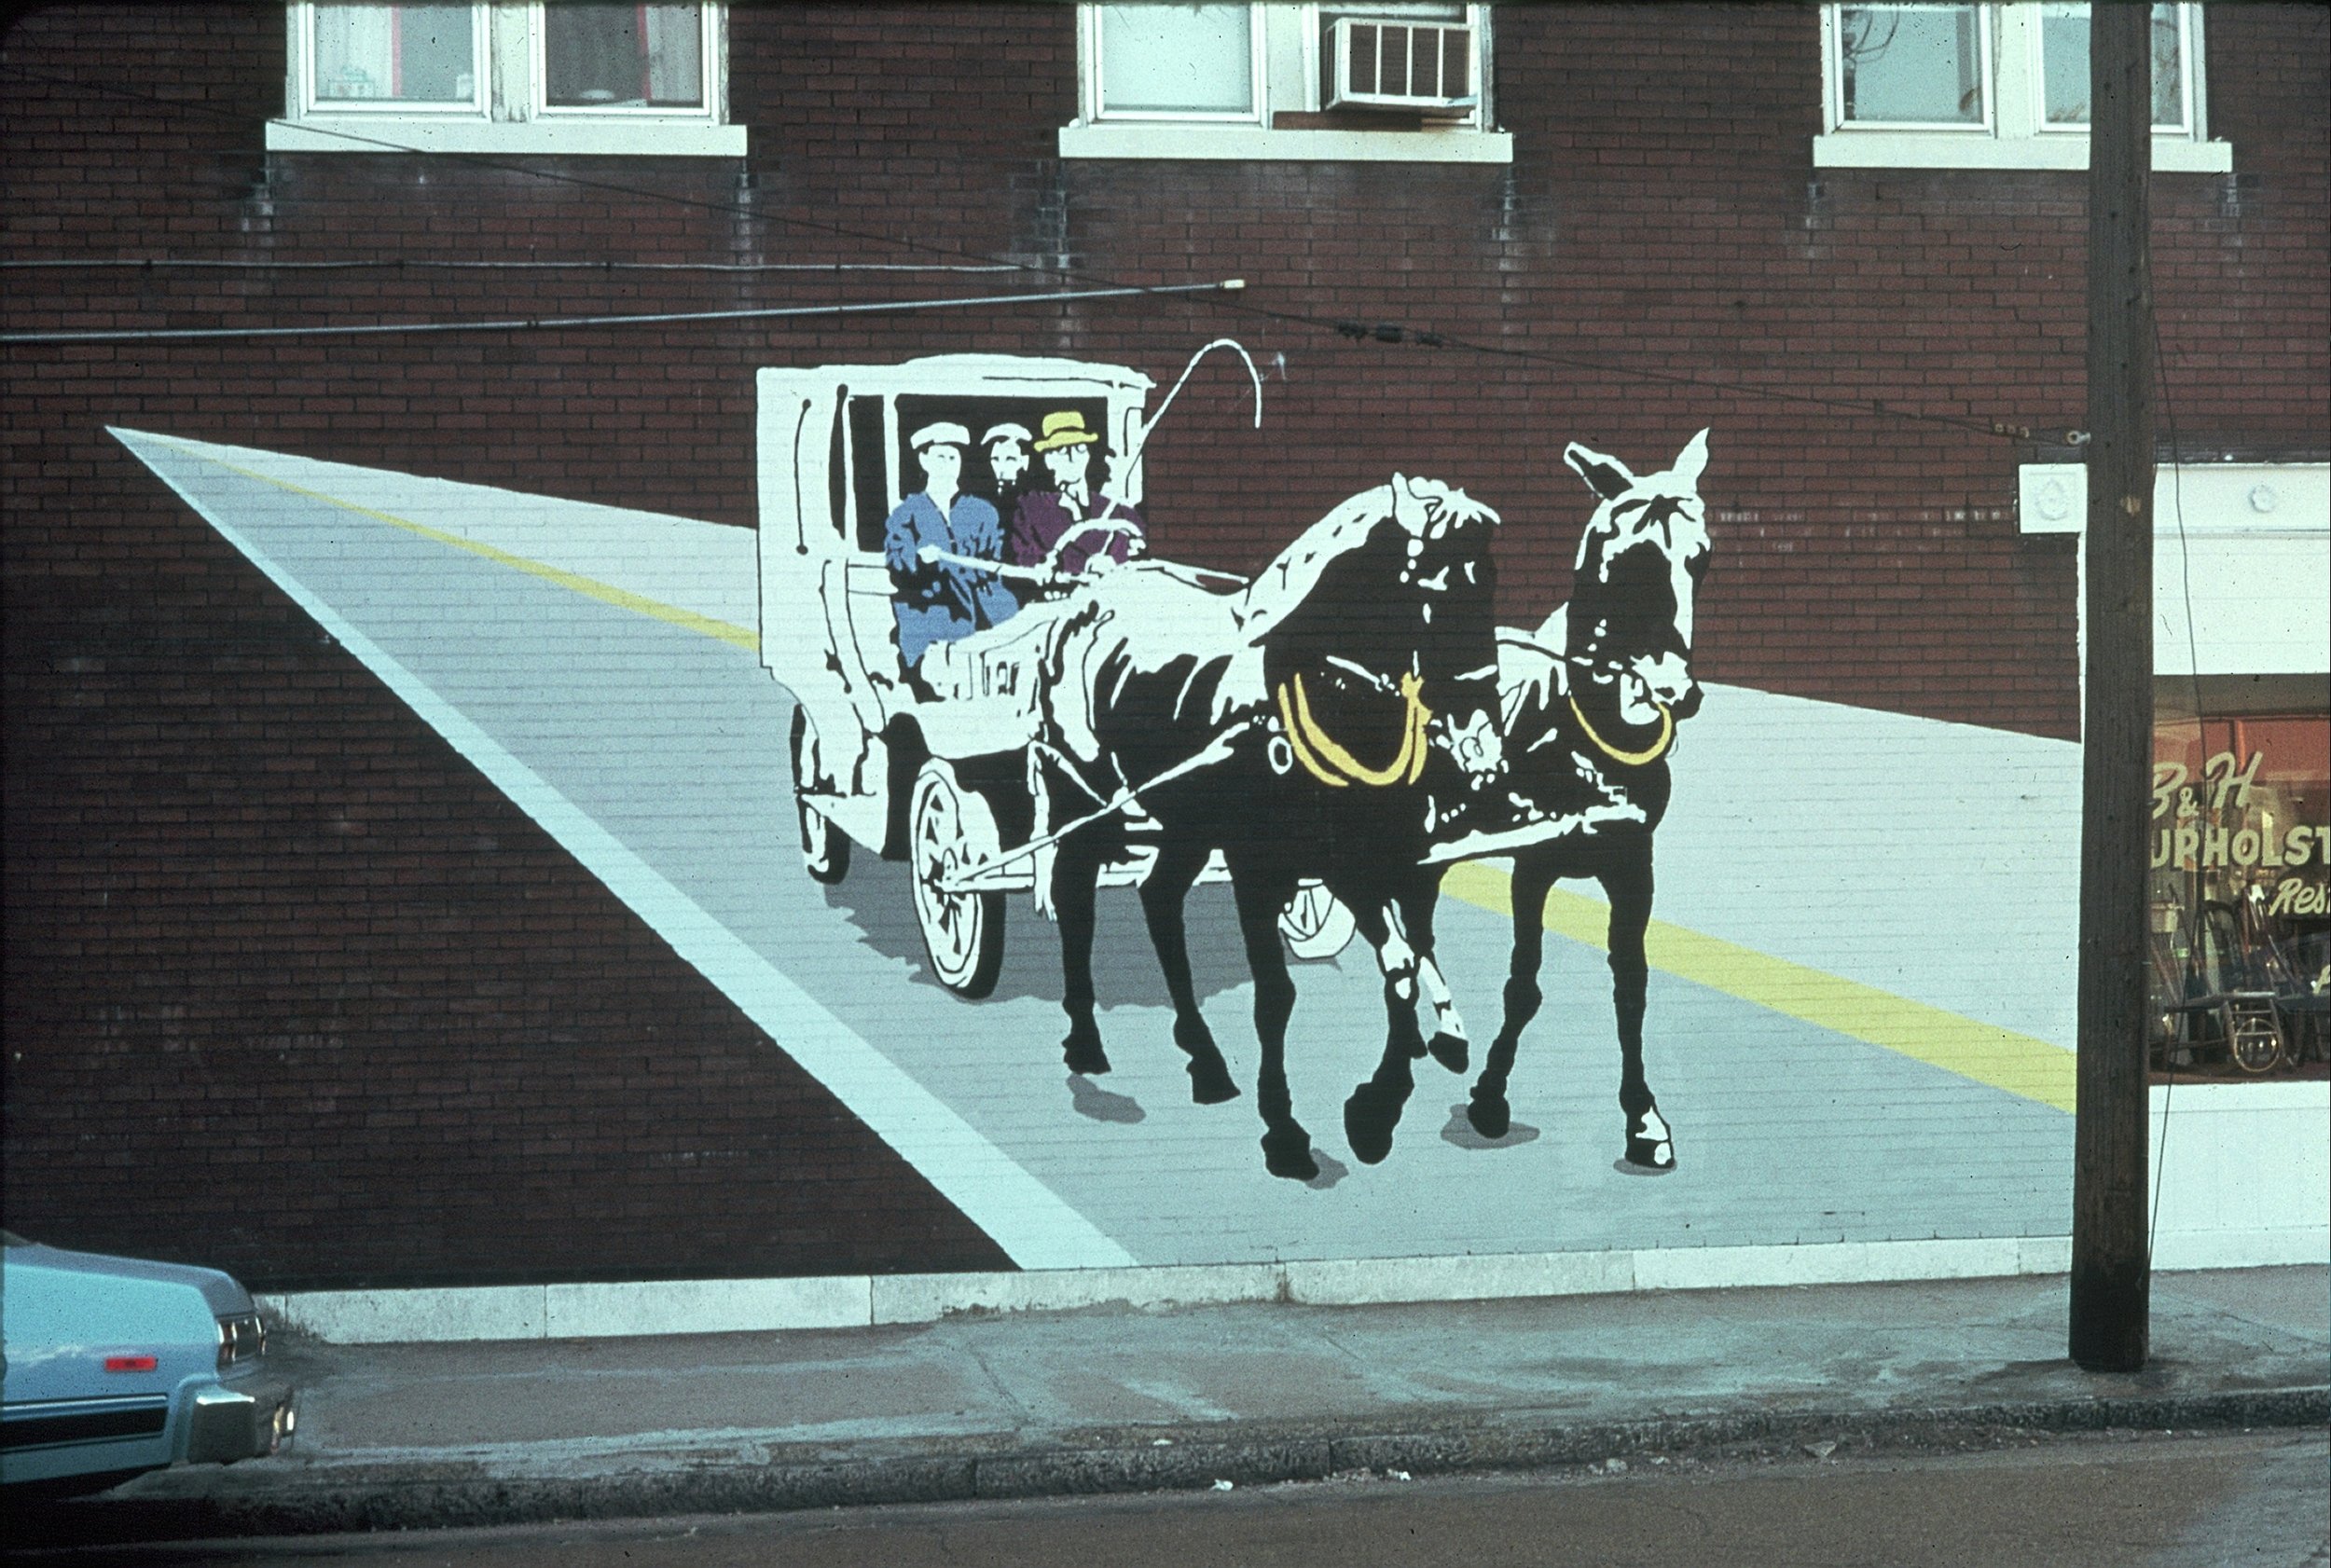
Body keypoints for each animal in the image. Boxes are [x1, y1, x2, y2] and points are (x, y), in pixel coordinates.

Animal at [1030, 477, 1501, 1174]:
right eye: (1434, 591)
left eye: (1491, 584)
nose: (1480, 736)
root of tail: (1090, 595)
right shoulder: (1261, 872)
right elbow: (1277, 996)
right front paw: (1286, 1130)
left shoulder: (1365, 866)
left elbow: (1403, 967)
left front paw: (1377, 1109)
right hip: (1083, 799)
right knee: (1074, 898)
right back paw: (1086, 1040)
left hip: (1187, 826)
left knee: (1159, 897)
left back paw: (1204, 1058)